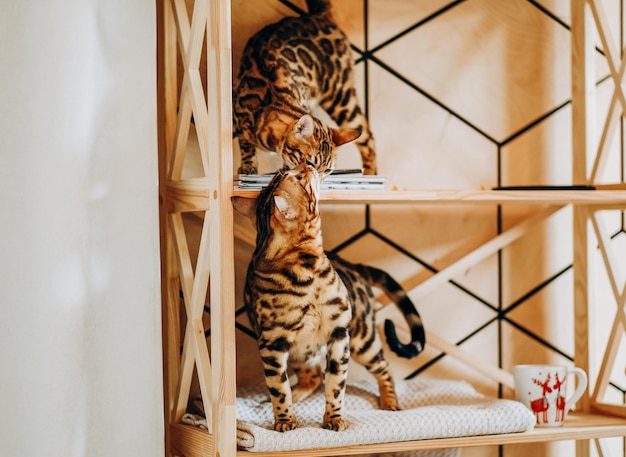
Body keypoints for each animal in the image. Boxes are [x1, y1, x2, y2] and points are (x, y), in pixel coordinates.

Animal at [230, 163, 424, 432]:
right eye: (298, 177)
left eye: (290, 173)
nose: (308, 165)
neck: (309, 273)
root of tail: (352, 265)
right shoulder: (272, 344)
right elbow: (278, 389)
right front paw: (285, 421)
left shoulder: (339, 334)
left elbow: (336, 385)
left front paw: (334, 418)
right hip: (304, 351)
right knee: (312, 378)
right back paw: (296, 396)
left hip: (362, 340)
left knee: (383, 368)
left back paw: (390, 403)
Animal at [233, 0, 376, 176]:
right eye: (309, 163)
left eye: (328, 170)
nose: (317, 179)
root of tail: (317, 16)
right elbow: (245, 144)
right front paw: (248, 165)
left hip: (341, 96)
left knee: (368, 138)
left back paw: (371, 173)